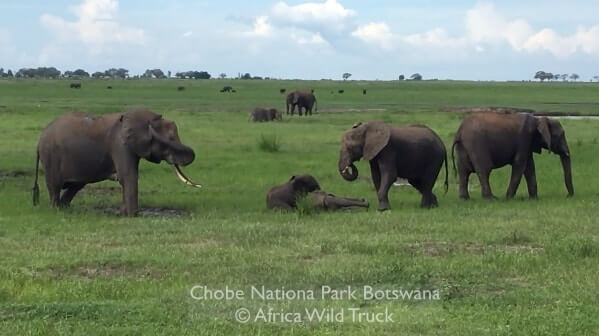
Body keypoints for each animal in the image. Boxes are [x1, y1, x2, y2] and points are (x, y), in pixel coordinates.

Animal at [32, 109, 202, 217]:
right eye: (171, 139)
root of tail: (39, 141)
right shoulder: (120, 145)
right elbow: (128, 176)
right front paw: (132, 216)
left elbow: (127, 178)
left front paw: (123, 214)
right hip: (51, 156)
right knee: (54, 186)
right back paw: (56, 210)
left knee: (77, 185)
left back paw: (65, 209)